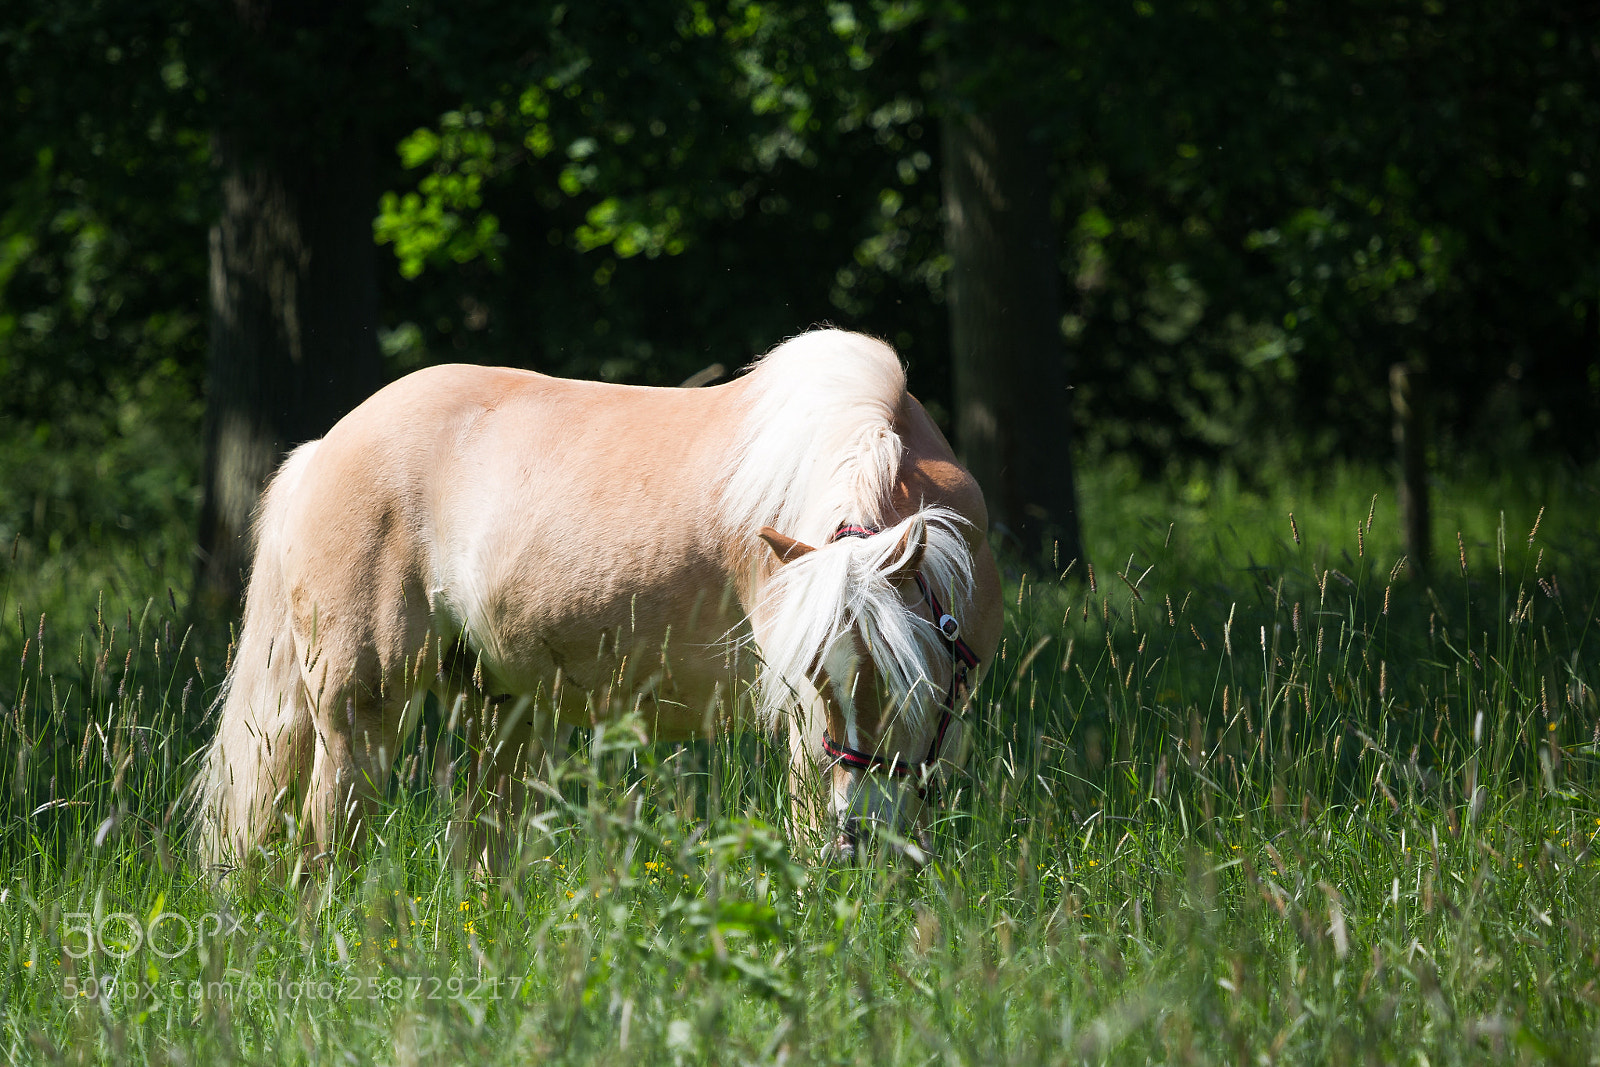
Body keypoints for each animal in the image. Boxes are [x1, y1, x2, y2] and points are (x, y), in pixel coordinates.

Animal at [192, 328, 1004, 868]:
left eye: (906, 680)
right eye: (815, 678)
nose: (859, 835)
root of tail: (326, 447)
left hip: (502, 711)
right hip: (359, 709)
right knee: (328, 834)